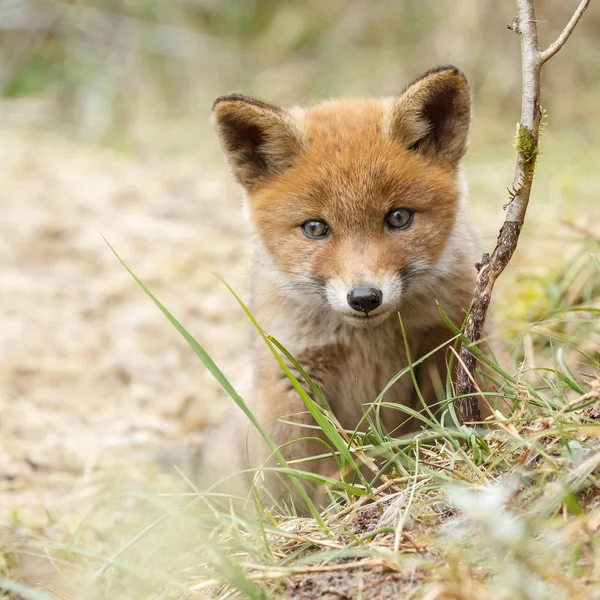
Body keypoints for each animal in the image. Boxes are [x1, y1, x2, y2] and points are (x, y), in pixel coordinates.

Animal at [213, 65, 480, 504]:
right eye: (315, 228)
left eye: (399, 218)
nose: (365, 298)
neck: (367, 344)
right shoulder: (291, 380)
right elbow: (288, 481)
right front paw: (295, 522)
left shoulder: (452, 341)